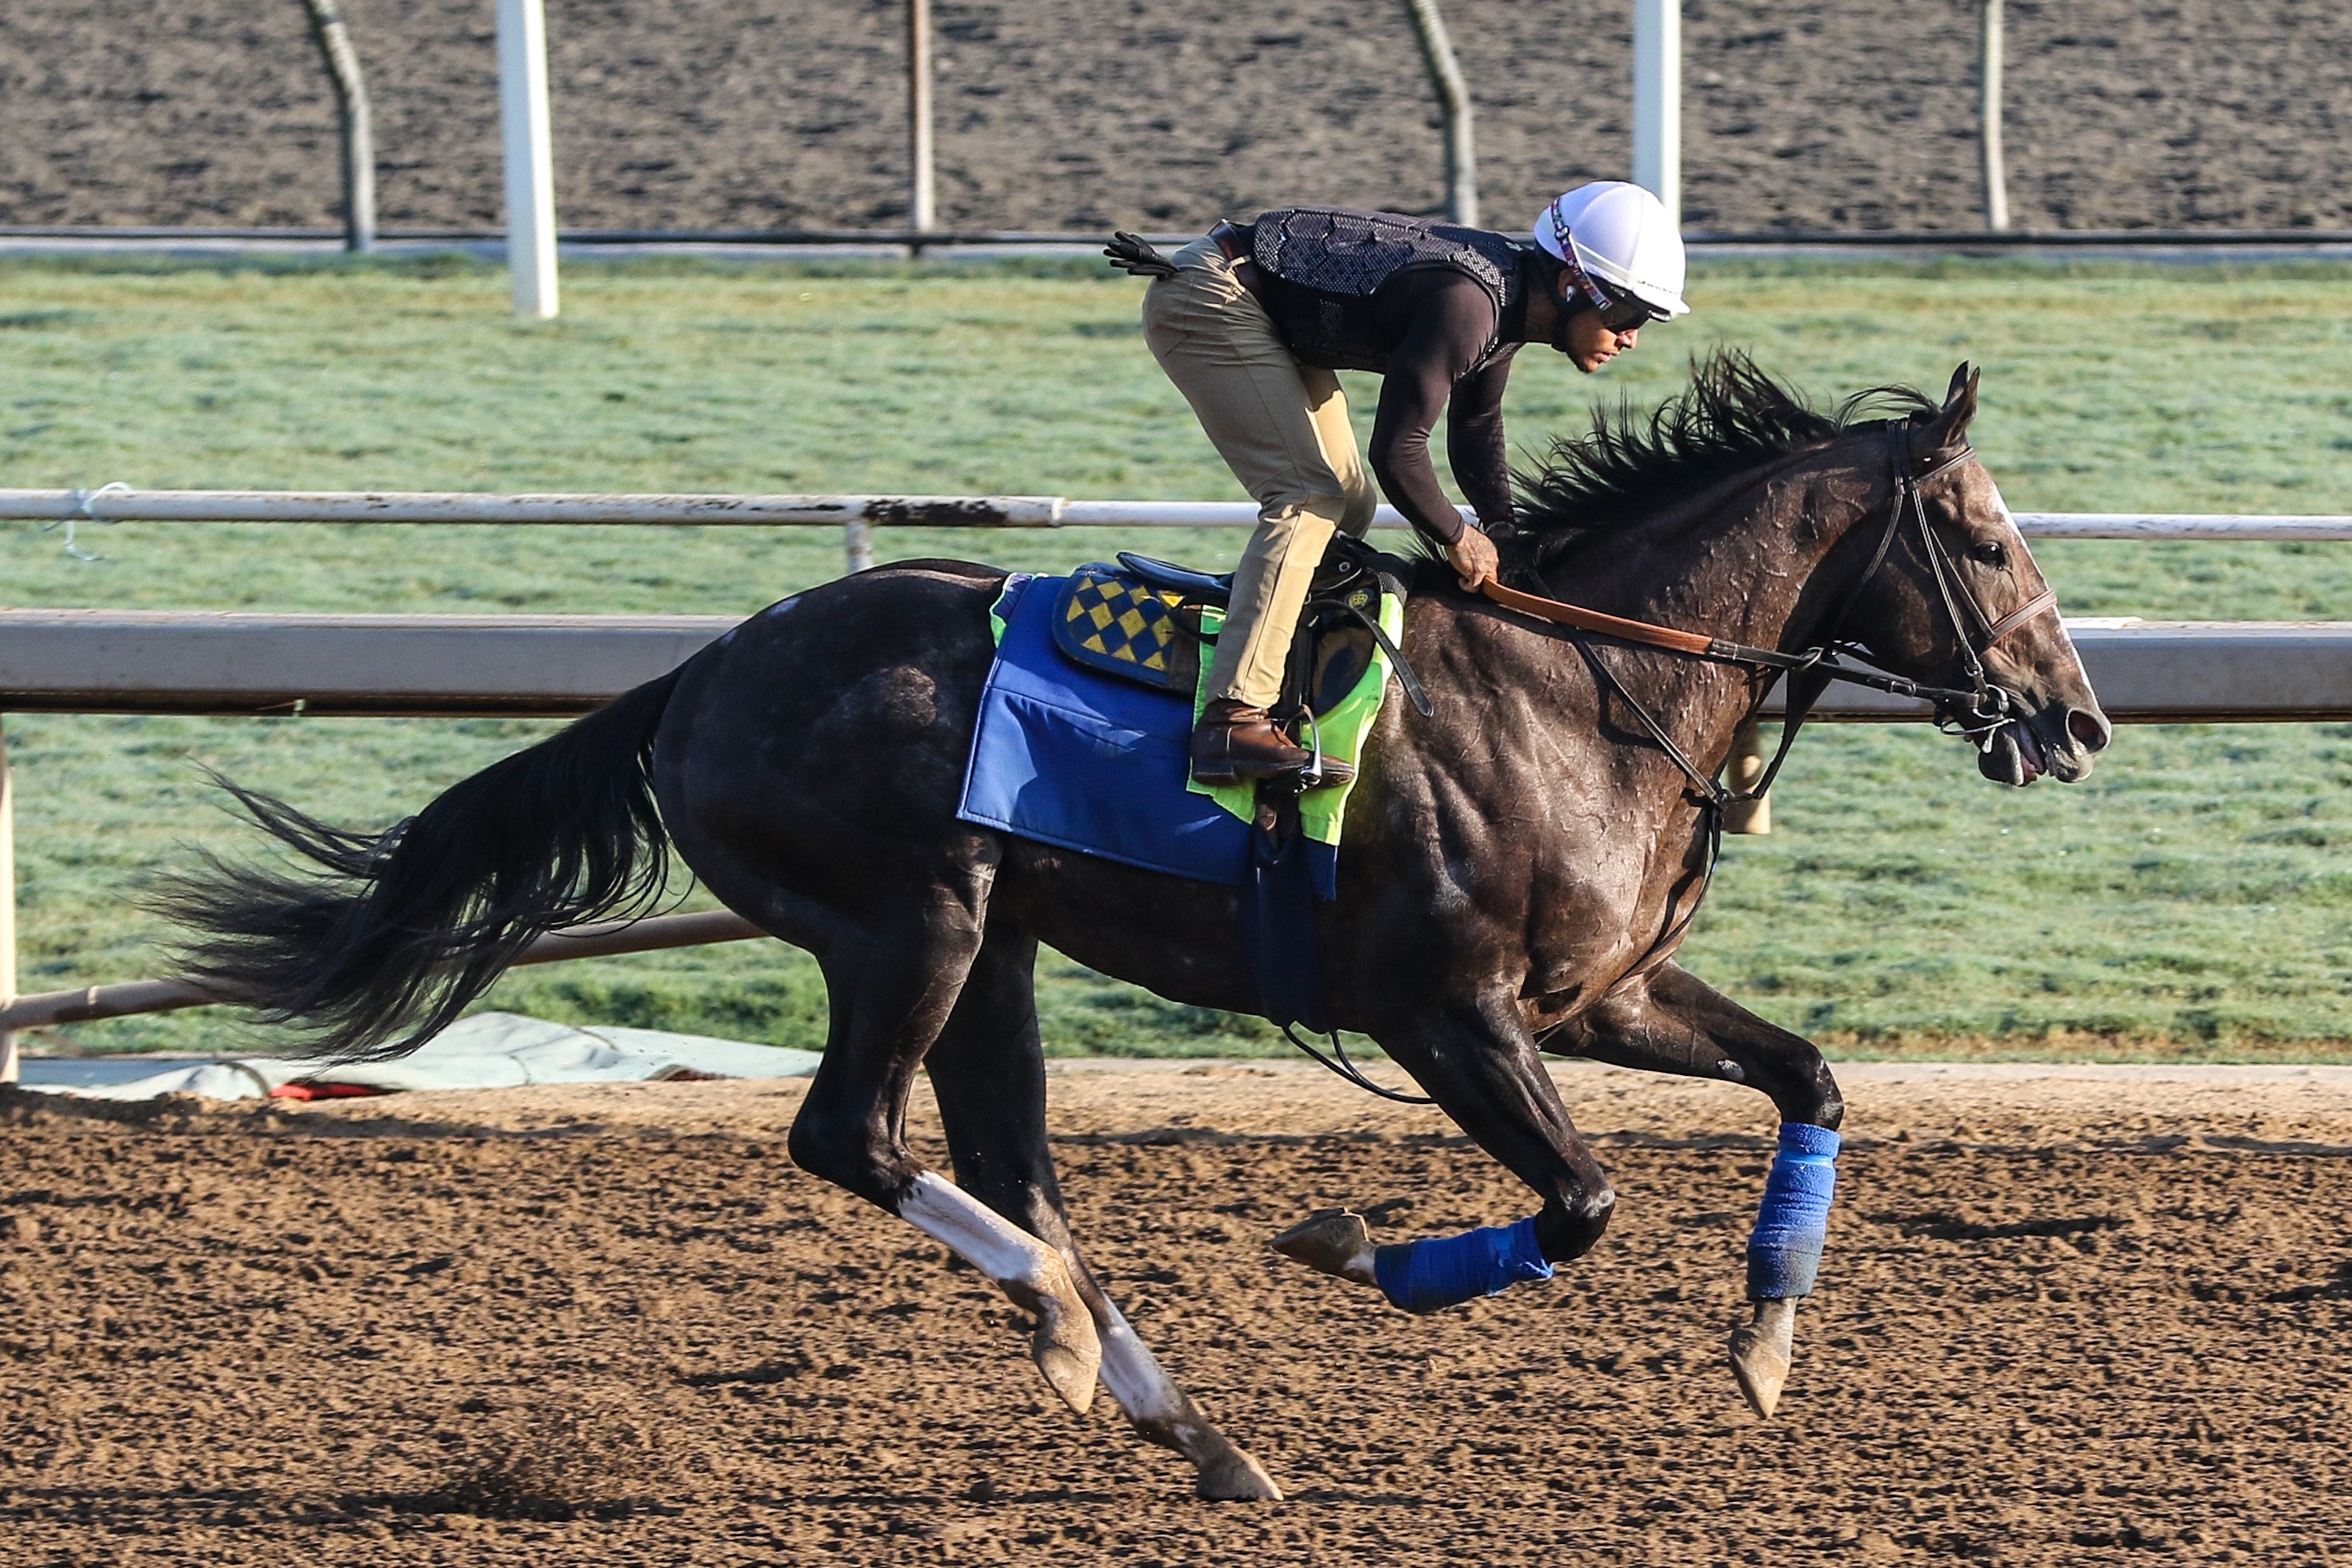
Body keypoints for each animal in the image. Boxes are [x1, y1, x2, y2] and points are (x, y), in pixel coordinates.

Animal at [166, 359, 2116, 1504]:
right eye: (1979, 539)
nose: (2076, 719)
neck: (1582, 689)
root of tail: (693, 678)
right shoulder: (1445, 1013)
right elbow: (1576, 1202)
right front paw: (1345, 1243)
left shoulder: (1596, 995)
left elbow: (1809, 1076)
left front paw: (1768, 1342)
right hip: (908, 924)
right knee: (854, 1138)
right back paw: (1071, 1334)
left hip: (995, 946)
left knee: (1000, 1156)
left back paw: (1180, 1418)